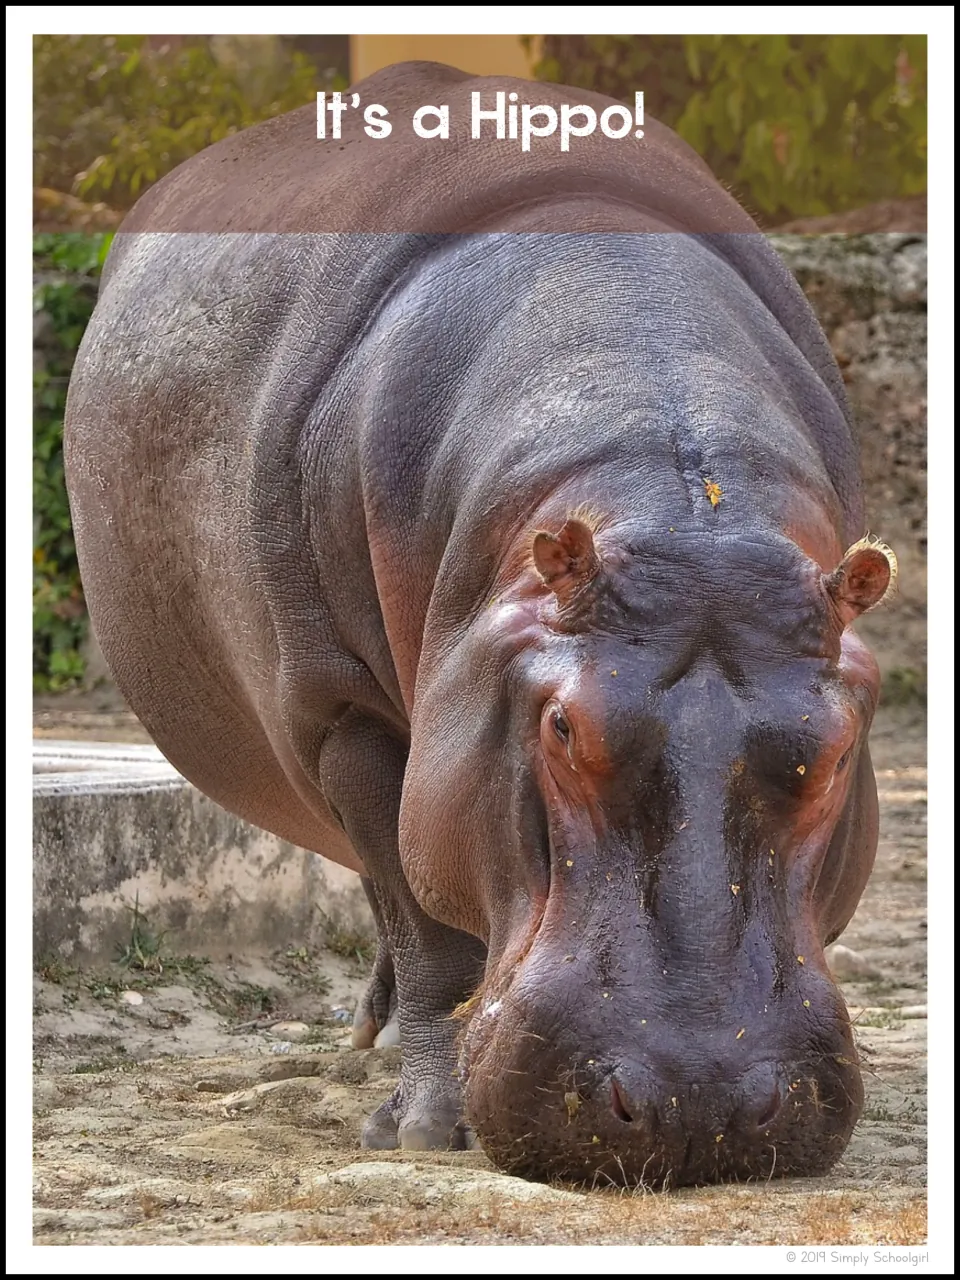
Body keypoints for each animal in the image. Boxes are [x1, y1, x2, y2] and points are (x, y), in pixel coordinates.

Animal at [64, 62, 897, 1187]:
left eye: (839, 746)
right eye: (562, 727)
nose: (697, 1101)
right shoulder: (347, 715)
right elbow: (429, 930)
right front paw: (425, 1127)